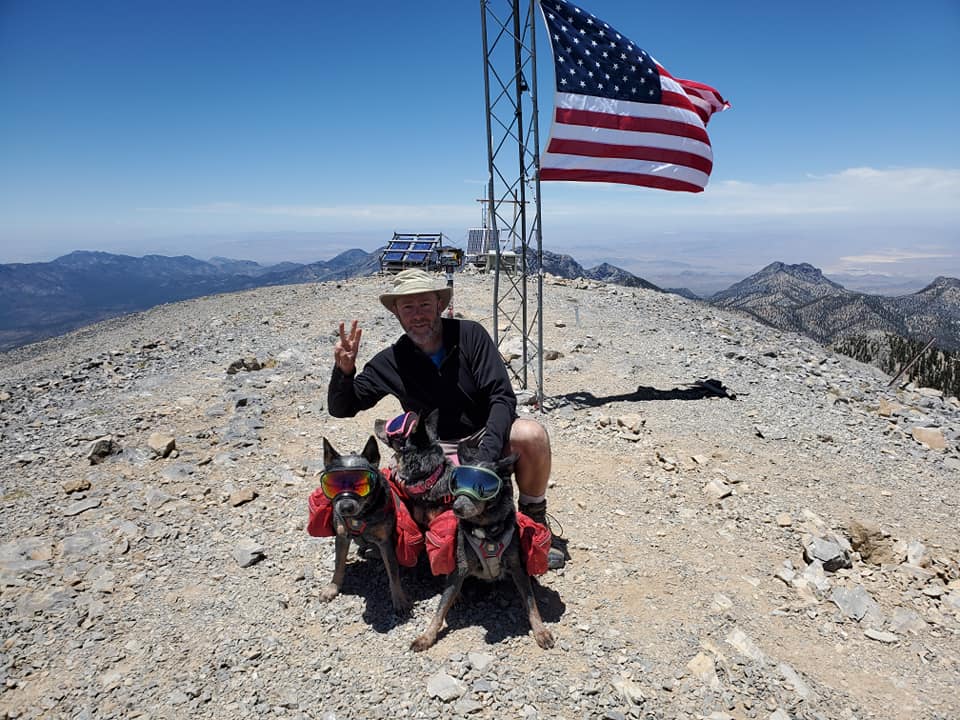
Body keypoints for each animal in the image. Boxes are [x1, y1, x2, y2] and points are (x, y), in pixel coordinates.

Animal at [312, 436, 408, 616]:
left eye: (361, 484)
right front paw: (333, 587)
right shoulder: (342, 537)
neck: (360, 516)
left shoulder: (385, 542)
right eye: (333, 484)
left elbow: (393, 571)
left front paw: (399, 599)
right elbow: (338, 564)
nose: (345, 507)